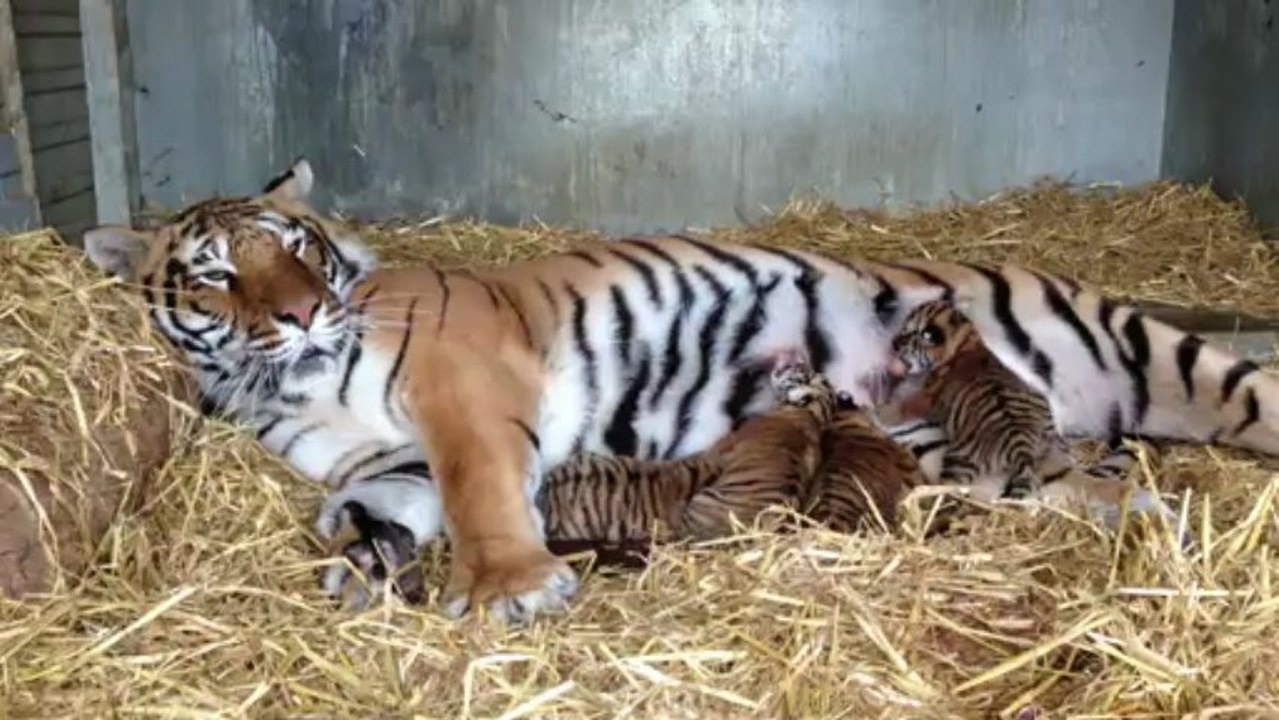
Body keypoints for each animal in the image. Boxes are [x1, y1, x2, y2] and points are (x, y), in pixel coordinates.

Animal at [80, 157, 1278, 623]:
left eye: (294, 249)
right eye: (216, 275)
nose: (296, 314)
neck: (291, 383)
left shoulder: (461, 388)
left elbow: (478, 491)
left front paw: (511, 586)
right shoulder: (386, 457)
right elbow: (376, 509)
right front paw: (362, 568)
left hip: (1147, 354)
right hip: (990, 452)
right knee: (1095, 484)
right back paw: (1149, 519)